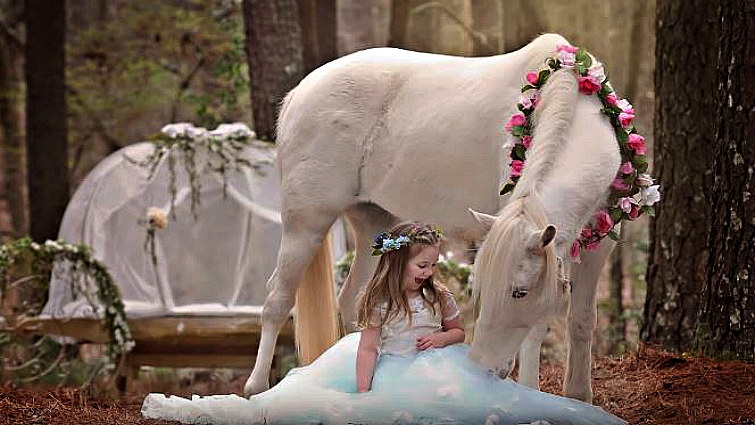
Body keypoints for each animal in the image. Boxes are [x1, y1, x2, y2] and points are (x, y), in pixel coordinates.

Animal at [243, 33, 621, 404]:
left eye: (519, 292)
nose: (485, 368)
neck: (569, 102)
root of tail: (300, 92)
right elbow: (536, 332)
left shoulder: (598, 244)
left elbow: (581, 319)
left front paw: (579, 397)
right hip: (306, 224)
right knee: (277, 300)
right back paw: (256, 389)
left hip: (374, 224)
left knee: (352, 300)